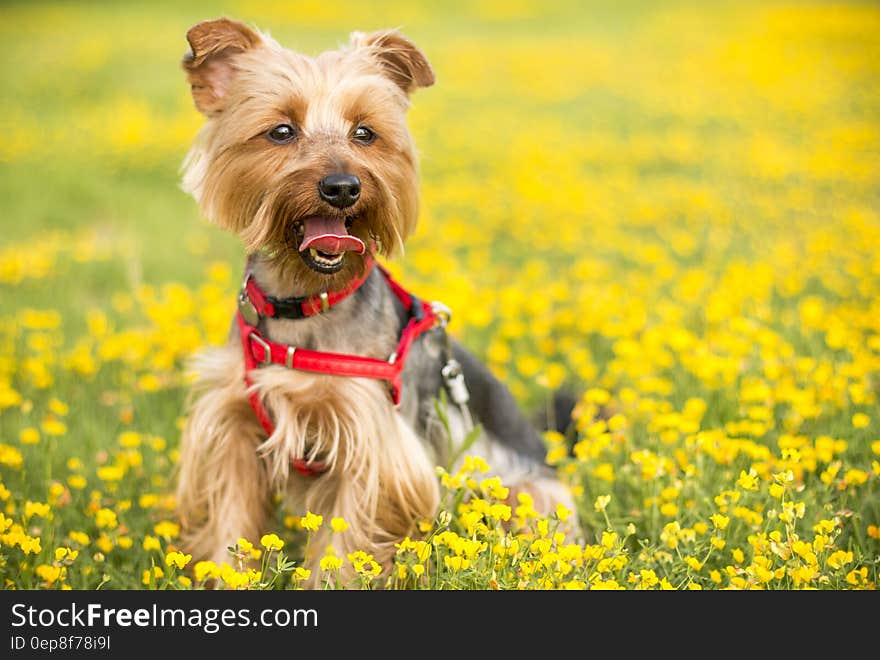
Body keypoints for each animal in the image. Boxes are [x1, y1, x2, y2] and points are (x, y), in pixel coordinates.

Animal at [175, 15, 580, 584]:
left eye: (365, 133)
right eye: (281, 131)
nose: (343, 186)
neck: (306, 301)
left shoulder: (374, 443)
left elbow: (347, 545)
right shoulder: (233, 427)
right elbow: (232, 523)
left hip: (523, 490)